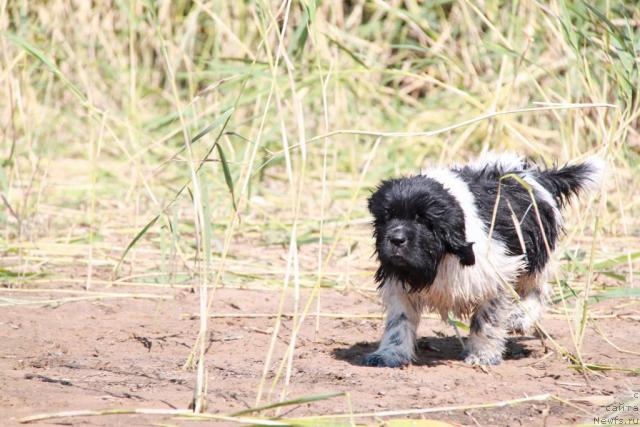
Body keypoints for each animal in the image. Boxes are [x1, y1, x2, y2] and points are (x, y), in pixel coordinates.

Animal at [362, 154, 604, 368]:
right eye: (386, 217)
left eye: (422, 220)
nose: (396, 239)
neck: (443, 255)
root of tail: (536, 176)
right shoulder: (399, 282)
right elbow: (399, 322)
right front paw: (390, 354)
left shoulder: (497, 274)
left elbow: (486, 320)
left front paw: (483, 355)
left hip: (535, 256)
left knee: (538, 288)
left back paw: (521, 317)